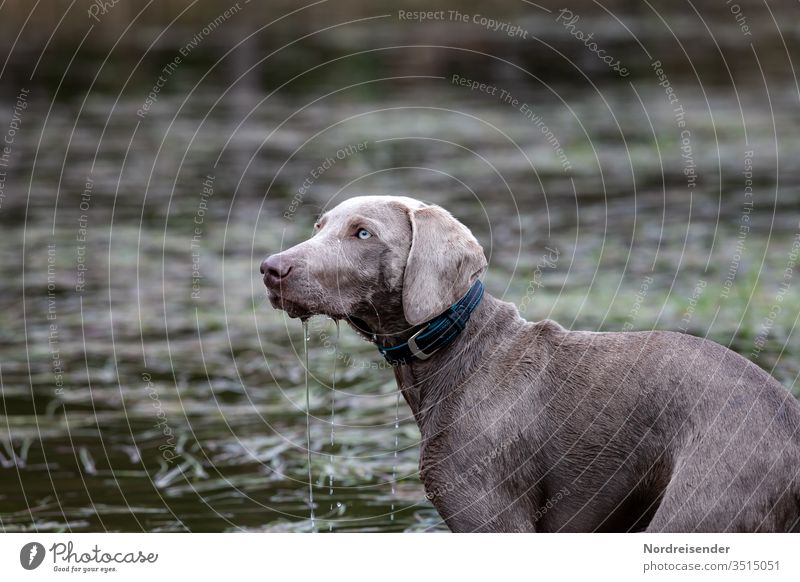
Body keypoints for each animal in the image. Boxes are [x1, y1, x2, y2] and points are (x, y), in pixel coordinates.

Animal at [260, 197, 800, 532]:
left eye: (363, 232)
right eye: (318, 227)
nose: (270, 268)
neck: (457, 350)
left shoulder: (487, 508)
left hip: (707, 499)